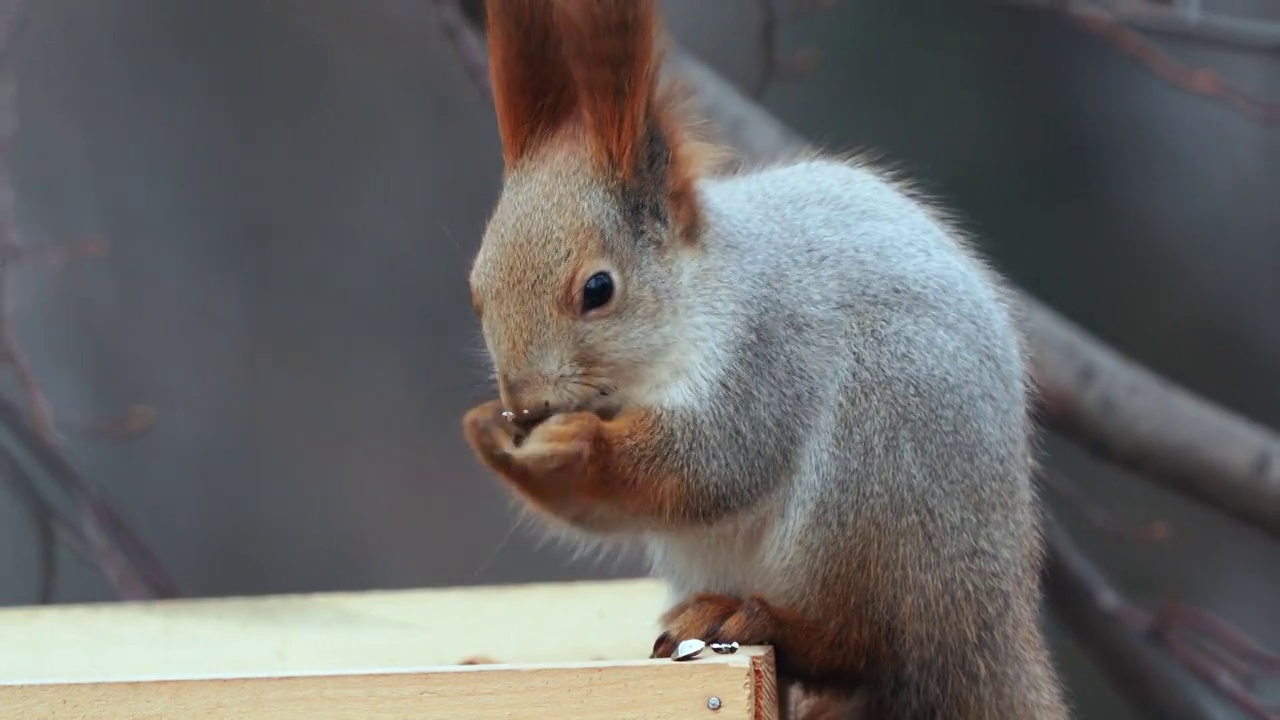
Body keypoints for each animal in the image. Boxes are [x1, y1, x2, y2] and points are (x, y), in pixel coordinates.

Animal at [460, 1, 1070, 712]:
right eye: (476, 290)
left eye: (598, 289)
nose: (525, 404)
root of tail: (992, 620)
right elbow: (609, 508)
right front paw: (491, 435)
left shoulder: (769, 351)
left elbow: (713, 464)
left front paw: (576, 443)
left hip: (874, 474)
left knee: (868, 644)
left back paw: (760, 621)